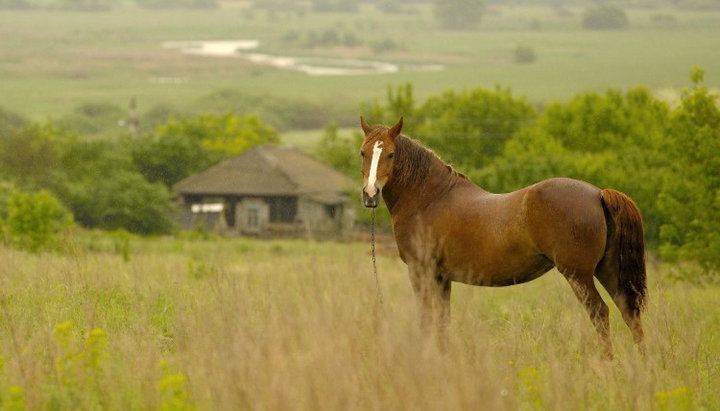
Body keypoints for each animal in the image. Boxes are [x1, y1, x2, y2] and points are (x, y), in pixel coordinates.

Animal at [360, 115, 648, 358]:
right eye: (363, 152)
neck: (429, 197)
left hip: (579, 275)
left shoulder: (421, 271)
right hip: (607, 269)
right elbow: (442, 320)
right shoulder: (441, 277)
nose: (370, 194)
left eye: (391, 154)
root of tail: (598, 194)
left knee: (600, 313)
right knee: (629, 312)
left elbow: (426, 319)